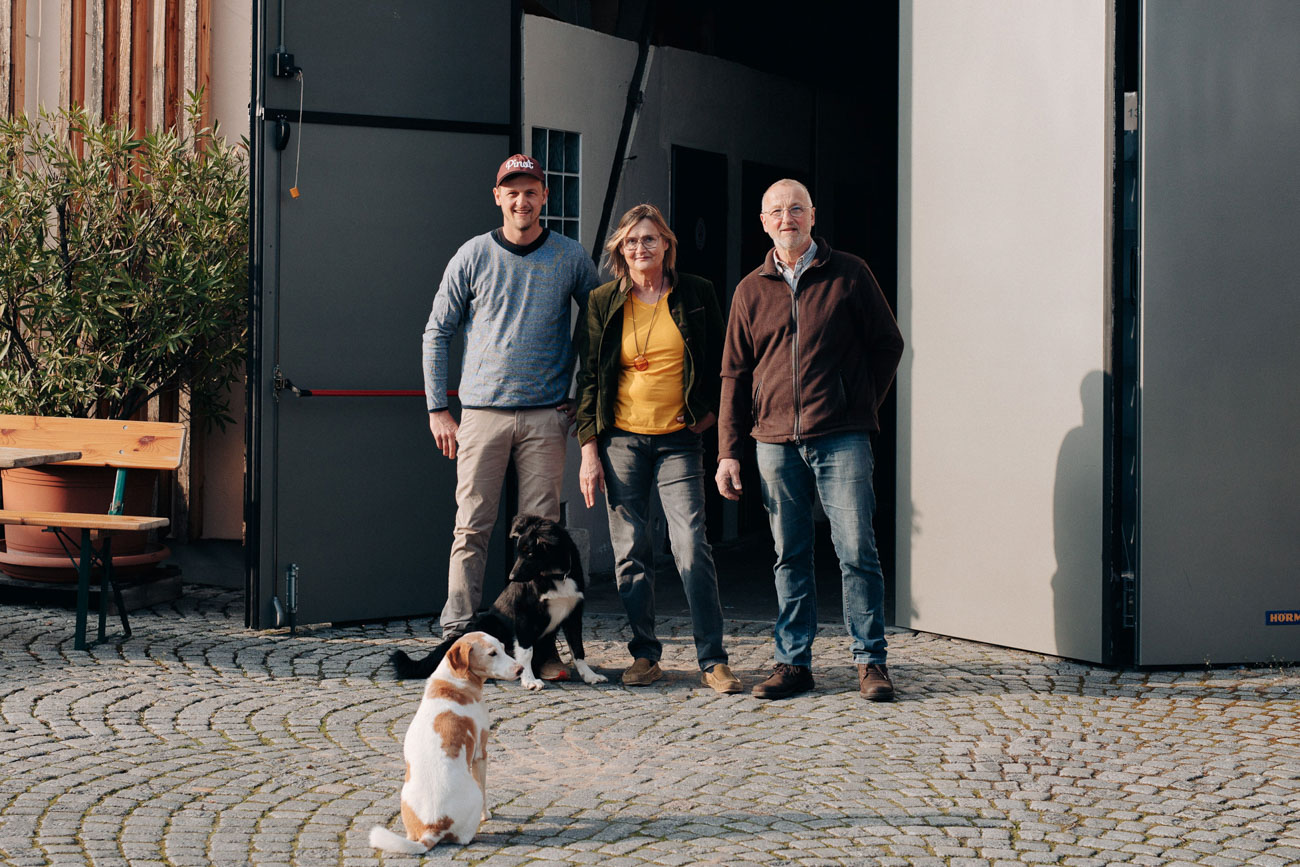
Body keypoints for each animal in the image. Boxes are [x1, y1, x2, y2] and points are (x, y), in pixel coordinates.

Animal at [369, 631, 520, 852]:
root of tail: (434, 825)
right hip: (473, 795)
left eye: (502, 647)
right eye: (492, 653)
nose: (521, 669)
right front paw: (487, 815)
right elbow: (485, 791)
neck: (453, 682)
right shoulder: (480, 754)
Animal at [387, 514, 605, 691]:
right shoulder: (524, 616)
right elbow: (526, 652)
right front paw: (529, 680)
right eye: (519, 552)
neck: (556, 576)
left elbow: (578, 648)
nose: (512, 577)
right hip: (490, 623)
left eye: (530, 553)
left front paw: (589, 675)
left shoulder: (573, 616)